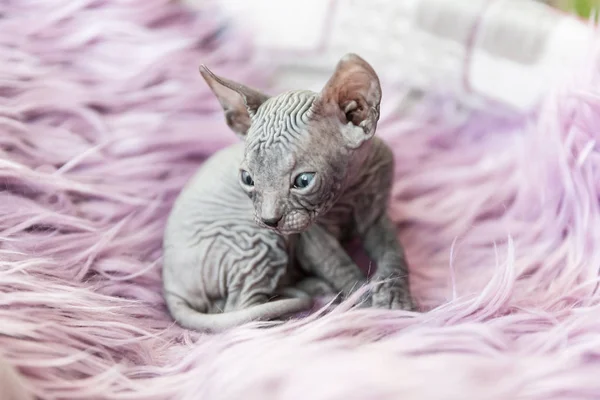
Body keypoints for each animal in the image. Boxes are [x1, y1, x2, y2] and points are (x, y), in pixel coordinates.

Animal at [163, 54, 418, 334]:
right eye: (248, 179)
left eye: (303, 181)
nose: (269, 220)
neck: (348, 191)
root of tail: (170, 286)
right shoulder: (313, 237)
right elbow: (339, 267)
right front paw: (368, 303)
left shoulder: (376, 216)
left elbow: (394, 252)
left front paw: (395, 297)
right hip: (256, 238)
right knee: (239, 311)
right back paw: (299, 315)